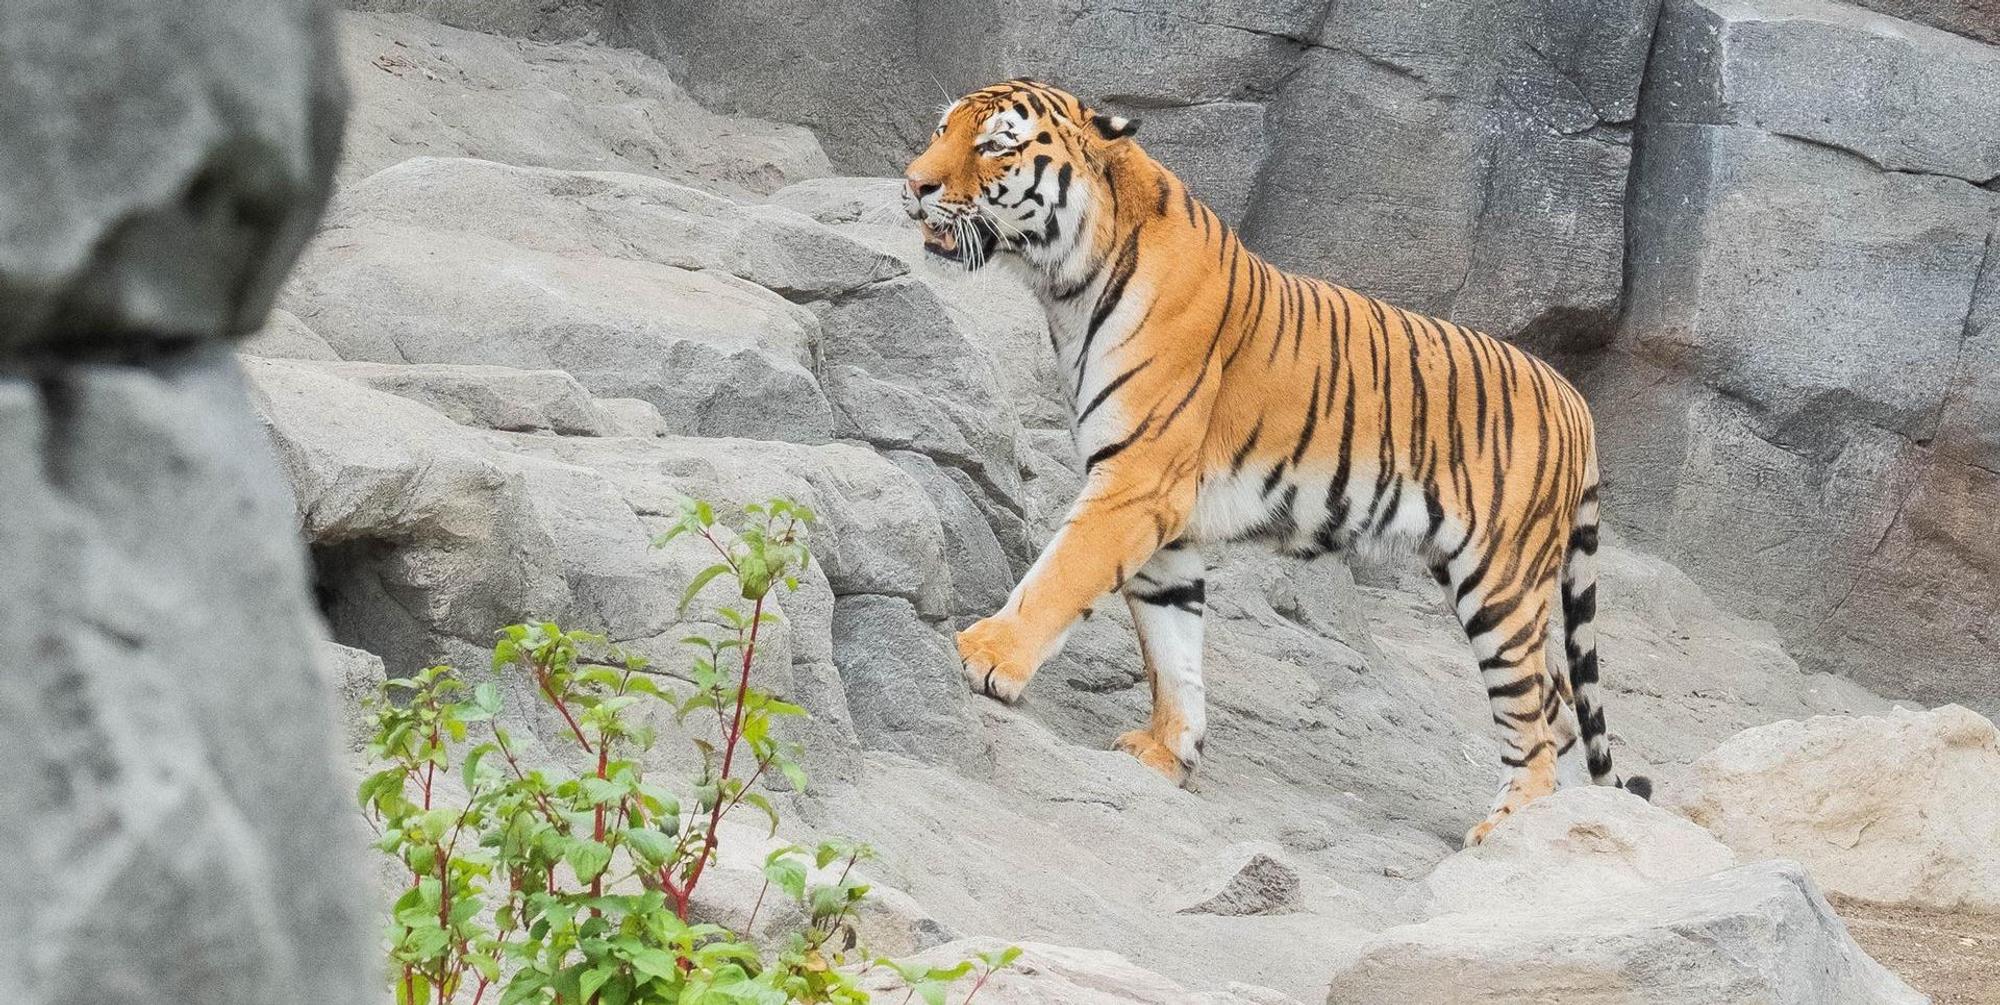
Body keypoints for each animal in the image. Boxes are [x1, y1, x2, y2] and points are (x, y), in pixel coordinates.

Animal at [901, 79, 1648, 845]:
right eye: (941, 131)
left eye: (996, 145)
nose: (913, 184)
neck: (1066, 285)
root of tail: (1575, 400)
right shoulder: (1164, 517)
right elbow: (1172, 645)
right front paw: (1168, 749)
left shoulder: (1135, 484)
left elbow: (1058, 576)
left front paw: (984, 655)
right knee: (1558, 712)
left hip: (1500, 582)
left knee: (1533, 721)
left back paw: (1506, 829)